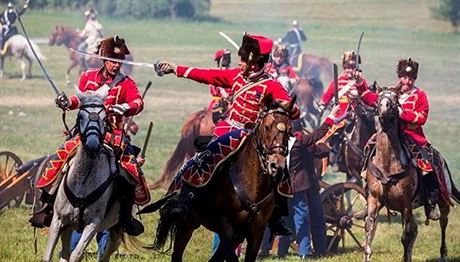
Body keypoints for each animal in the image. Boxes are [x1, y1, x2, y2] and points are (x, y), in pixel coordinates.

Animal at [42, 87, 121, 260]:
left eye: (105, 118)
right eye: (80, 116)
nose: (92, 145)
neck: (82, 183)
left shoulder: (93, 224)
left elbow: (76, 254)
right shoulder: (58, 220)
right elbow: (49, 255)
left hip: (116, 228)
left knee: (109, 250)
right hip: (68, 226)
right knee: (65, 251)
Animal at [142, 97, 296, 260]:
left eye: (289, 130)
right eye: (267, 127)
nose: (276, 165)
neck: (251, 185)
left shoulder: (255, 233)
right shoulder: (226, 226)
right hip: (186, 223)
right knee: (178, 253)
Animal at [362, 88, 460, 262]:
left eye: (395, 99)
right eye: (378, 98)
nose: (384, 108)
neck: (387, 163)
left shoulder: (405, 204)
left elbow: (405, 236)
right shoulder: (373, 200)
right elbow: (369, 228)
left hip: (443, 200)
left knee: (443, 222)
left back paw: (443, 253)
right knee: (415, 229)